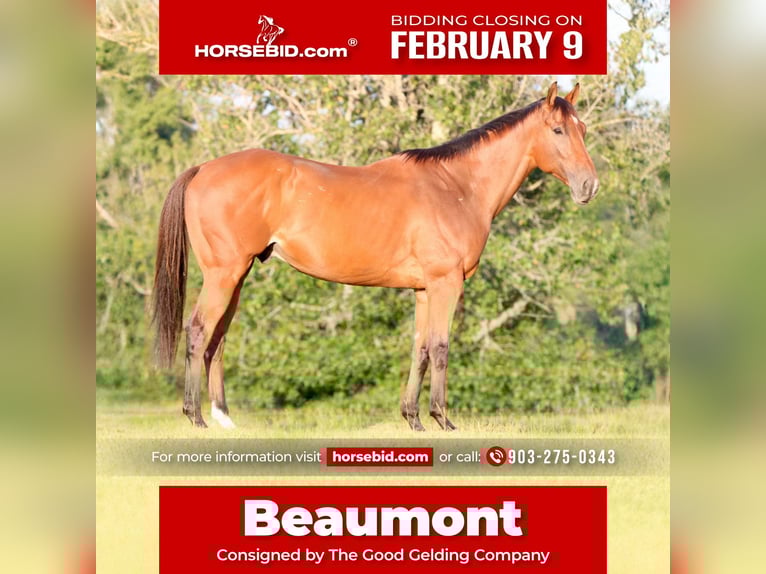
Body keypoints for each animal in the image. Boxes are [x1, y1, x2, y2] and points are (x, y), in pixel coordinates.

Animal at [152, 82, 599, 430]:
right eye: (558, 130)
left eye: (583, 129)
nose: (589, 186)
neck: (456, 187)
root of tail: (203, 168)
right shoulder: (445, 283)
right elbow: (440, 346)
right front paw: (442, 418)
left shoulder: (423, 289)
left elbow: (420, 348)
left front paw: (413, 418)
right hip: (223, 274)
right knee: (198, 331)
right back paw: (196, 416)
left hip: (237, 276)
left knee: (217, 338)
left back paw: (223, 417)